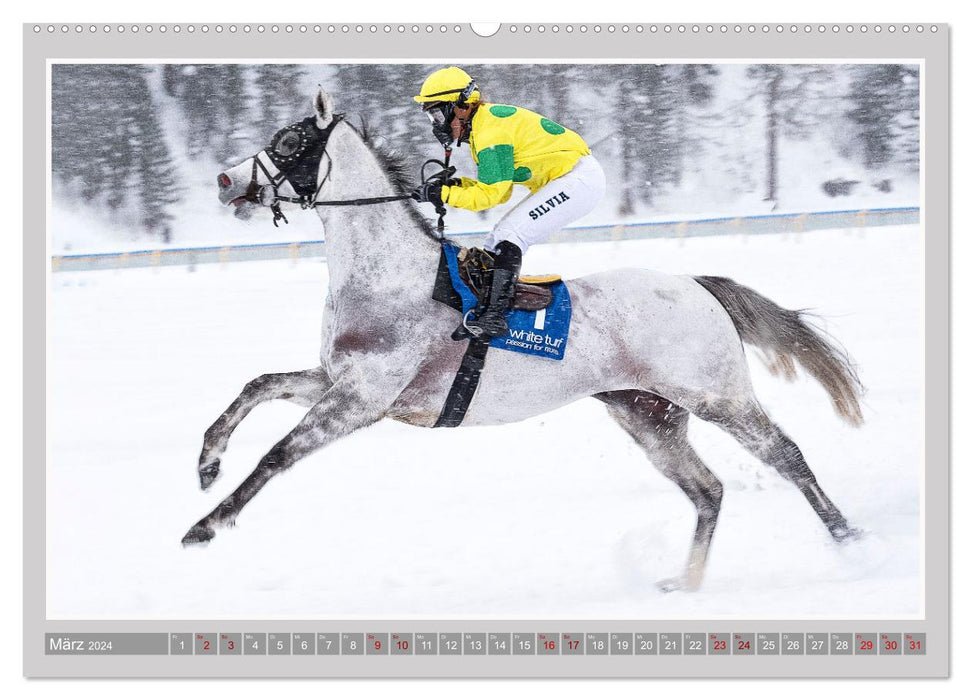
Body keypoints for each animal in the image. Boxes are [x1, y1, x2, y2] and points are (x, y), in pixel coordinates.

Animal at [186, 87, 860, 592]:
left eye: (288, 142)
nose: (223, 180)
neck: (388, 275)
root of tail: (695, 284)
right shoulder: (338, 381)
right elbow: (257, 385)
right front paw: (207, 462)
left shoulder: (361, 400)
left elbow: (277, 455)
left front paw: (207, 525)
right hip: (647, 415)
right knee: (708, 490)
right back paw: (686, 582)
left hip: (716, 395)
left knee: (785, 455)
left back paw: (850, 539)